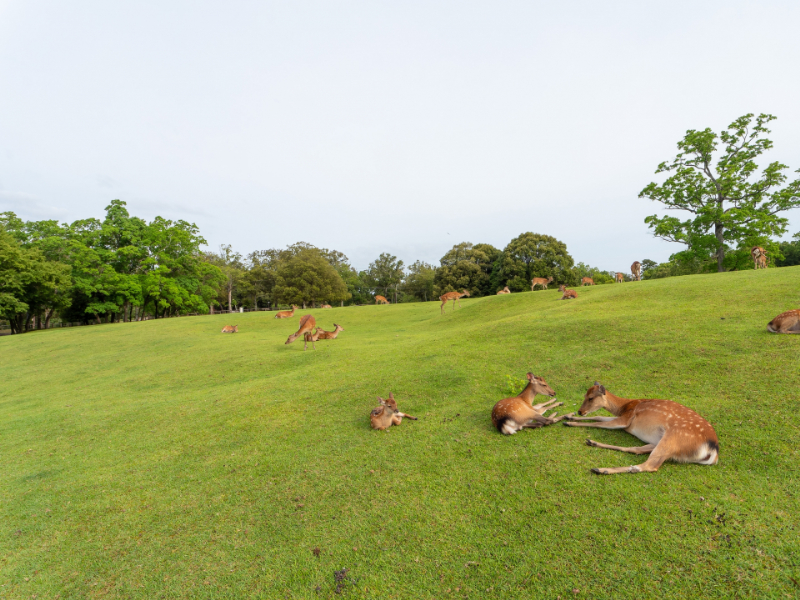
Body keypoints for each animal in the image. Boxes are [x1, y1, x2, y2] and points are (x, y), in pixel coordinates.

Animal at [564, 382, 720, 476]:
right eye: (584, 395)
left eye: (590, 398)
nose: (580, 411)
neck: (624, 407)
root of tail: (713, 450)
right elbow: (599, 417)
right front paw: (567, 417)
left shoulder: (626, 419)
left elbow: (598, 423)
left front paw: (570, 422)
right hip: (660, 442)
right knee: (636, 449)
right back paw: (592, 443)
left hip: (674, 438)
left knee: (649, 466)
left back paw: (600, 469)